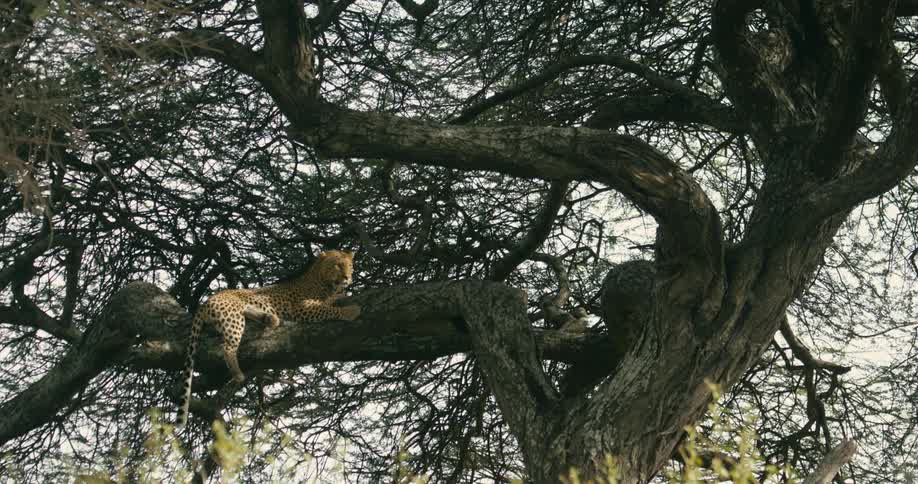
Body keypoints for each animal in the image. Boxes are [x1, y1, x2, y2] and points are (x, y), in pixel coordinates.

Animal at [178, 250, 361, 426]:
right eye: (337, 265)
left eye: (350, 266)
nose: (347, 277)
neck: (323, 281)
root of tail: (205, 303)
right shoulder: (301, 308)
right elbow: (327, 308)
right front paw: (350, 310)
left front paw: (342, 295)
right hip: (234, 317)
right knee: (228, 347)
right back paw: (238, 374)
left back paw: (269, 318)